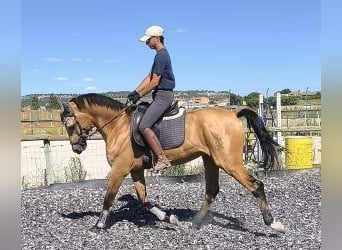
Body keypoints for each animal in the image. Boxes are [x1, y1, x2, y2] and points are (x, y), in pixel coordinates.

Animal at [59, 93, 286, 233]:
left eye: (69, 125)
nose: (77, 148)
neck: (118, 127)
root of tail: (233, 113)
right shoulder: (135, 170)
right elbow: (144, 199)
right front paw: (168, 218)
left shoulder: (119, 170)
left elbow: (108, 198)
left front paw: (98, 226)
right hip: (211, 160)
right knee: (211, 191)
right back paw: (195, 223)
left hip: (229, 162)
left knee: (256, 186)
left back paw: (273, 223)